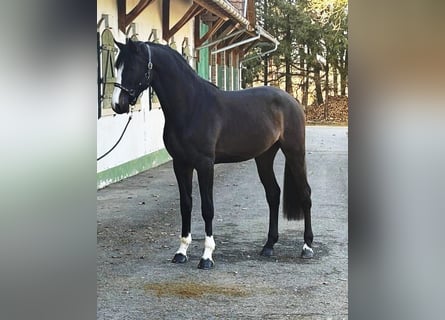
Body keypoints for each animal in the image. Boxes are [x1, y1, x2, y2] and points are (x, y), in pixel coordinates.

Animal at [111, 40, 312, 270]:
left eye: (131, 67)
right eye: (116, 67)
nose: (117, 104)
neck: (191, 106)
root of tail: (292, 101)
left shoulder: (205, 164)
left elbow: (207, 208)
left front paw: (207, 256)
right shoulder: (181, 164)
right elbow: (186, 205)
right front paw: (181, 252)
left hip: (295, 152)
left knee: (305, 194)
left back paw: (307, 247)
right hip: (264, 157)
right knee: (273, 194)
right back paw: (268, 246)